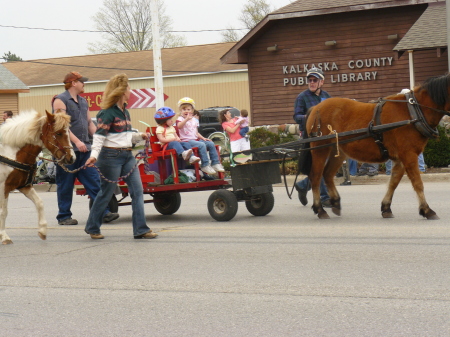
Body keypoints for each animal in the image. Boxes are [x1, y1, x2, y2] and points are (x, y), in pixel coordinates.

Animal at [0, 110, 74, 244]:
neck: (12, 154)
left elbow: (39, 203)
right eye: (59, 133)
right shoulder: (3, 187)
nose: (72, 158)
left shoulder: (24, 186)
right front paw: (4, 236)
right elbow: (3, 212)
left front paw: (43, 230)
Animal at [302, 74, 450, 218]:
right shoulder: (408, 155)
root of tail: (316, 107)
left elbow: (393, 182)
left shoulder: (401, 158)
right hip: (320, 149)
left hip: (338, 151)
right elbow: (418, 183)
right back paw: (319, 209)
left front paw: (386, 207)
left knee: (327, 174)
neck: (414, 112)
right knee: (315, 176)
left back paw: (335, 203)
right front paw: (426, 210)